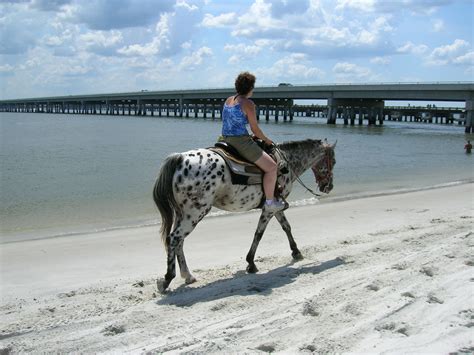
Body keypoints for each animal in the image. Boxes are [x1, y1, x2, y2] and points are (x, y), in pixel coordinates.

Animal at [154, 138, 336, 294]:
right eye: (333, 162)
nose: (328, 187)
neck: (286, 162)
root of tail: (180, 158)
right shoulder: (270, 208)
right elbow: (259, 234)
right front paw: (251, 263)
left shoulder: (277, 207)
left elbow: (286, 227)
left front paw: (296, 252)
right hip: (194, 213)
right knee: (174, 238)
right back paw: (167, 279)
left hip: (183, 214)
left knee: (179, 241)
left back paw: (188, 276)